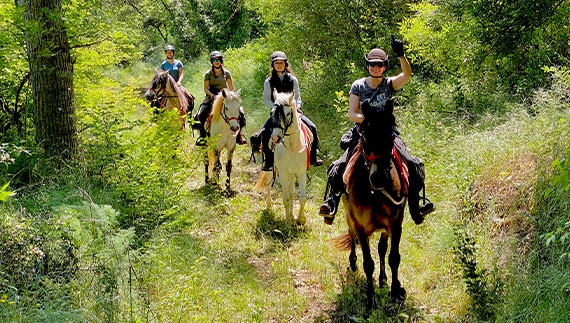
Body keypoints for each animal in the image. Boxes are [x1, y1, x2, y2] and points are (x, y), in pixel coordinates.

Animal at [255, 90, 312, 225]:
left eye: (287, 113)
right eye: (271, 112)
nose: (275, 138)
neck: (292, 146)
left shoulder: (301, 172)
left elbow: (301, 197)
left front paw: (300, 219)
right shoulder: (283, 173)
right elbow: (285, 197)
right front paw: (288, 222)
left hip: (292, 174)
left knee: (291, 190)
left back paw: (292, 214)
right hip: (270, 168)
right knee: (268, 184)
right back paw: (269, 206)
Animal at [332, 100, 408, 310]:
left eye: (391, 135)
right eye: (365, 135)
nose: (379, 178)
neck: (375, 193)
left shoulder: (395, 224)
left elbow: (393, 257)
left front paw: (395, 292)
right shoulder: (360, 226)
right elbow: (368, 263)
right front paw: (370, 298)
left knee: (382, 248)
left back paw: (383, 279)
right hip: (349, 216)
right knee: (351, 236)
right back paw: (353, 263)